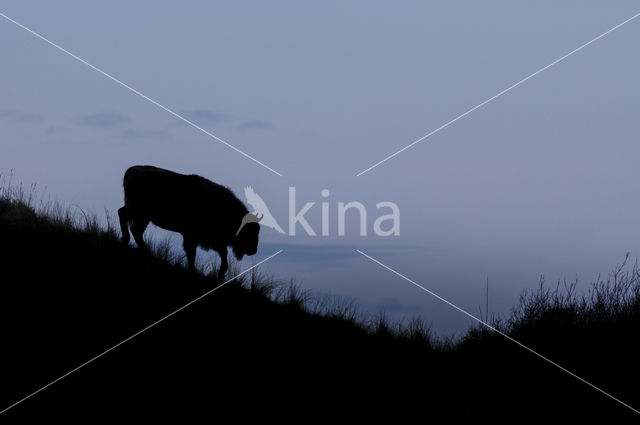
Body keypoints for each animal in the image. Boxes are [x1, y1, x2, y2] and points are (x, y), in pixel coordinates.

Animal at [119, 165, 262, 278]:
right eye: (248, 233)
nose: (253, 250)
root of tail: (131, 170)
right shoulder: (191, 237)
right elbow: (192, 254)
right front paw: (193, 270)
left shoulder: (214, 242)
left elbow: (223, 256)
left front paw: (220, 273)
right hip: (141, 214)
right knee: (136, 230)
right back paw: (147, 253)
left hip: (136, 212)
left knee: (123, 216)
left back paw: (127, 241)